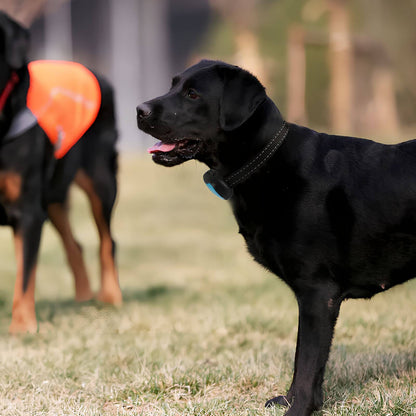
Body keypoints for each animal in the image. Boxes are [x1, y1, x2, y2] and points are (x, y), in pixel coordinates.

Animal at [0, 11, 122, 334]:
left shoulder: (28, 211)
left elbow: (24, 277)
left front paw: (22, 328)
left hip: (100, 180)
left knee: (107, 241)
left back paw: (111, 297)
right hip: (54, 193)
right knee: (75, 245)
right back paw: (83, 297)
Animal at [137, 59, 416, 416]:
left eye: (193, 94)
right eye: (173, 85)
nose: (139, 110)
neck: (266, 162)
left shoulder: (317, 292)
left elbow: (307, 361)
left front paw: (298, 409)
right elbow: (306, 364)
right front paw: (292, 400)